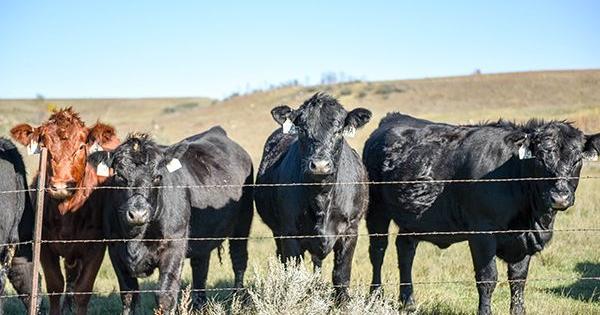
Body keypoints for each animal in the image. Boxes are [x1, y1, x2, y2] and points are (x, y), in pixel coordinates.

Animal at [11, 107, 118, 314]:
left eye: (81, 147)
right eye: (44, 145)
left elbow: (83, 289)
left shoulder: (96, 246)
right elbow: (55, 285)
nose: (60, 185)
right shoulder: (44, 245)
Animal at [89, 128, 253, 314]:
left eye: (157, 177)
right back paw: (199, 306)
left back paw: (238, 301)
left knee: (239, 259)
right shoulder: (115, 250)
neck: (135, 238)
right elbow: (129, 296)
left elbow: (165, 294)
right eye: (119, 176)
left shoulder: (175, 244)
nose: (138, 214)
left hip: (242, 223)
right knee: (200, 267)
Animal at [255, 93, 372, 302]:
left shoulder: (351, 230)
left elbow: (341, 275)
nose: (320, 165)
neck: (321, 198)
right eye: (302, 129)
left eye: (339, 130)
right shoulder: (289, 233)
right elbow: (293, 274)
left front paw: (343, 303)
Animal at [360, 113, 600, 315]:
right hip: (376, 211)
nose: (559, 197)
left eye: (577, 160)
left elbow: (518, 279)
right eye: (540, 158)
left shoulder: (523, 240)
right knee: (378, 251)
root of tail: (393, 118)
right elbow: (487, 278)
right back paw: (375, 296)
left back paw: (408, 302)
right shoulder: (482, 233)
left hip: (413, 219)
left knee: (405, 250)